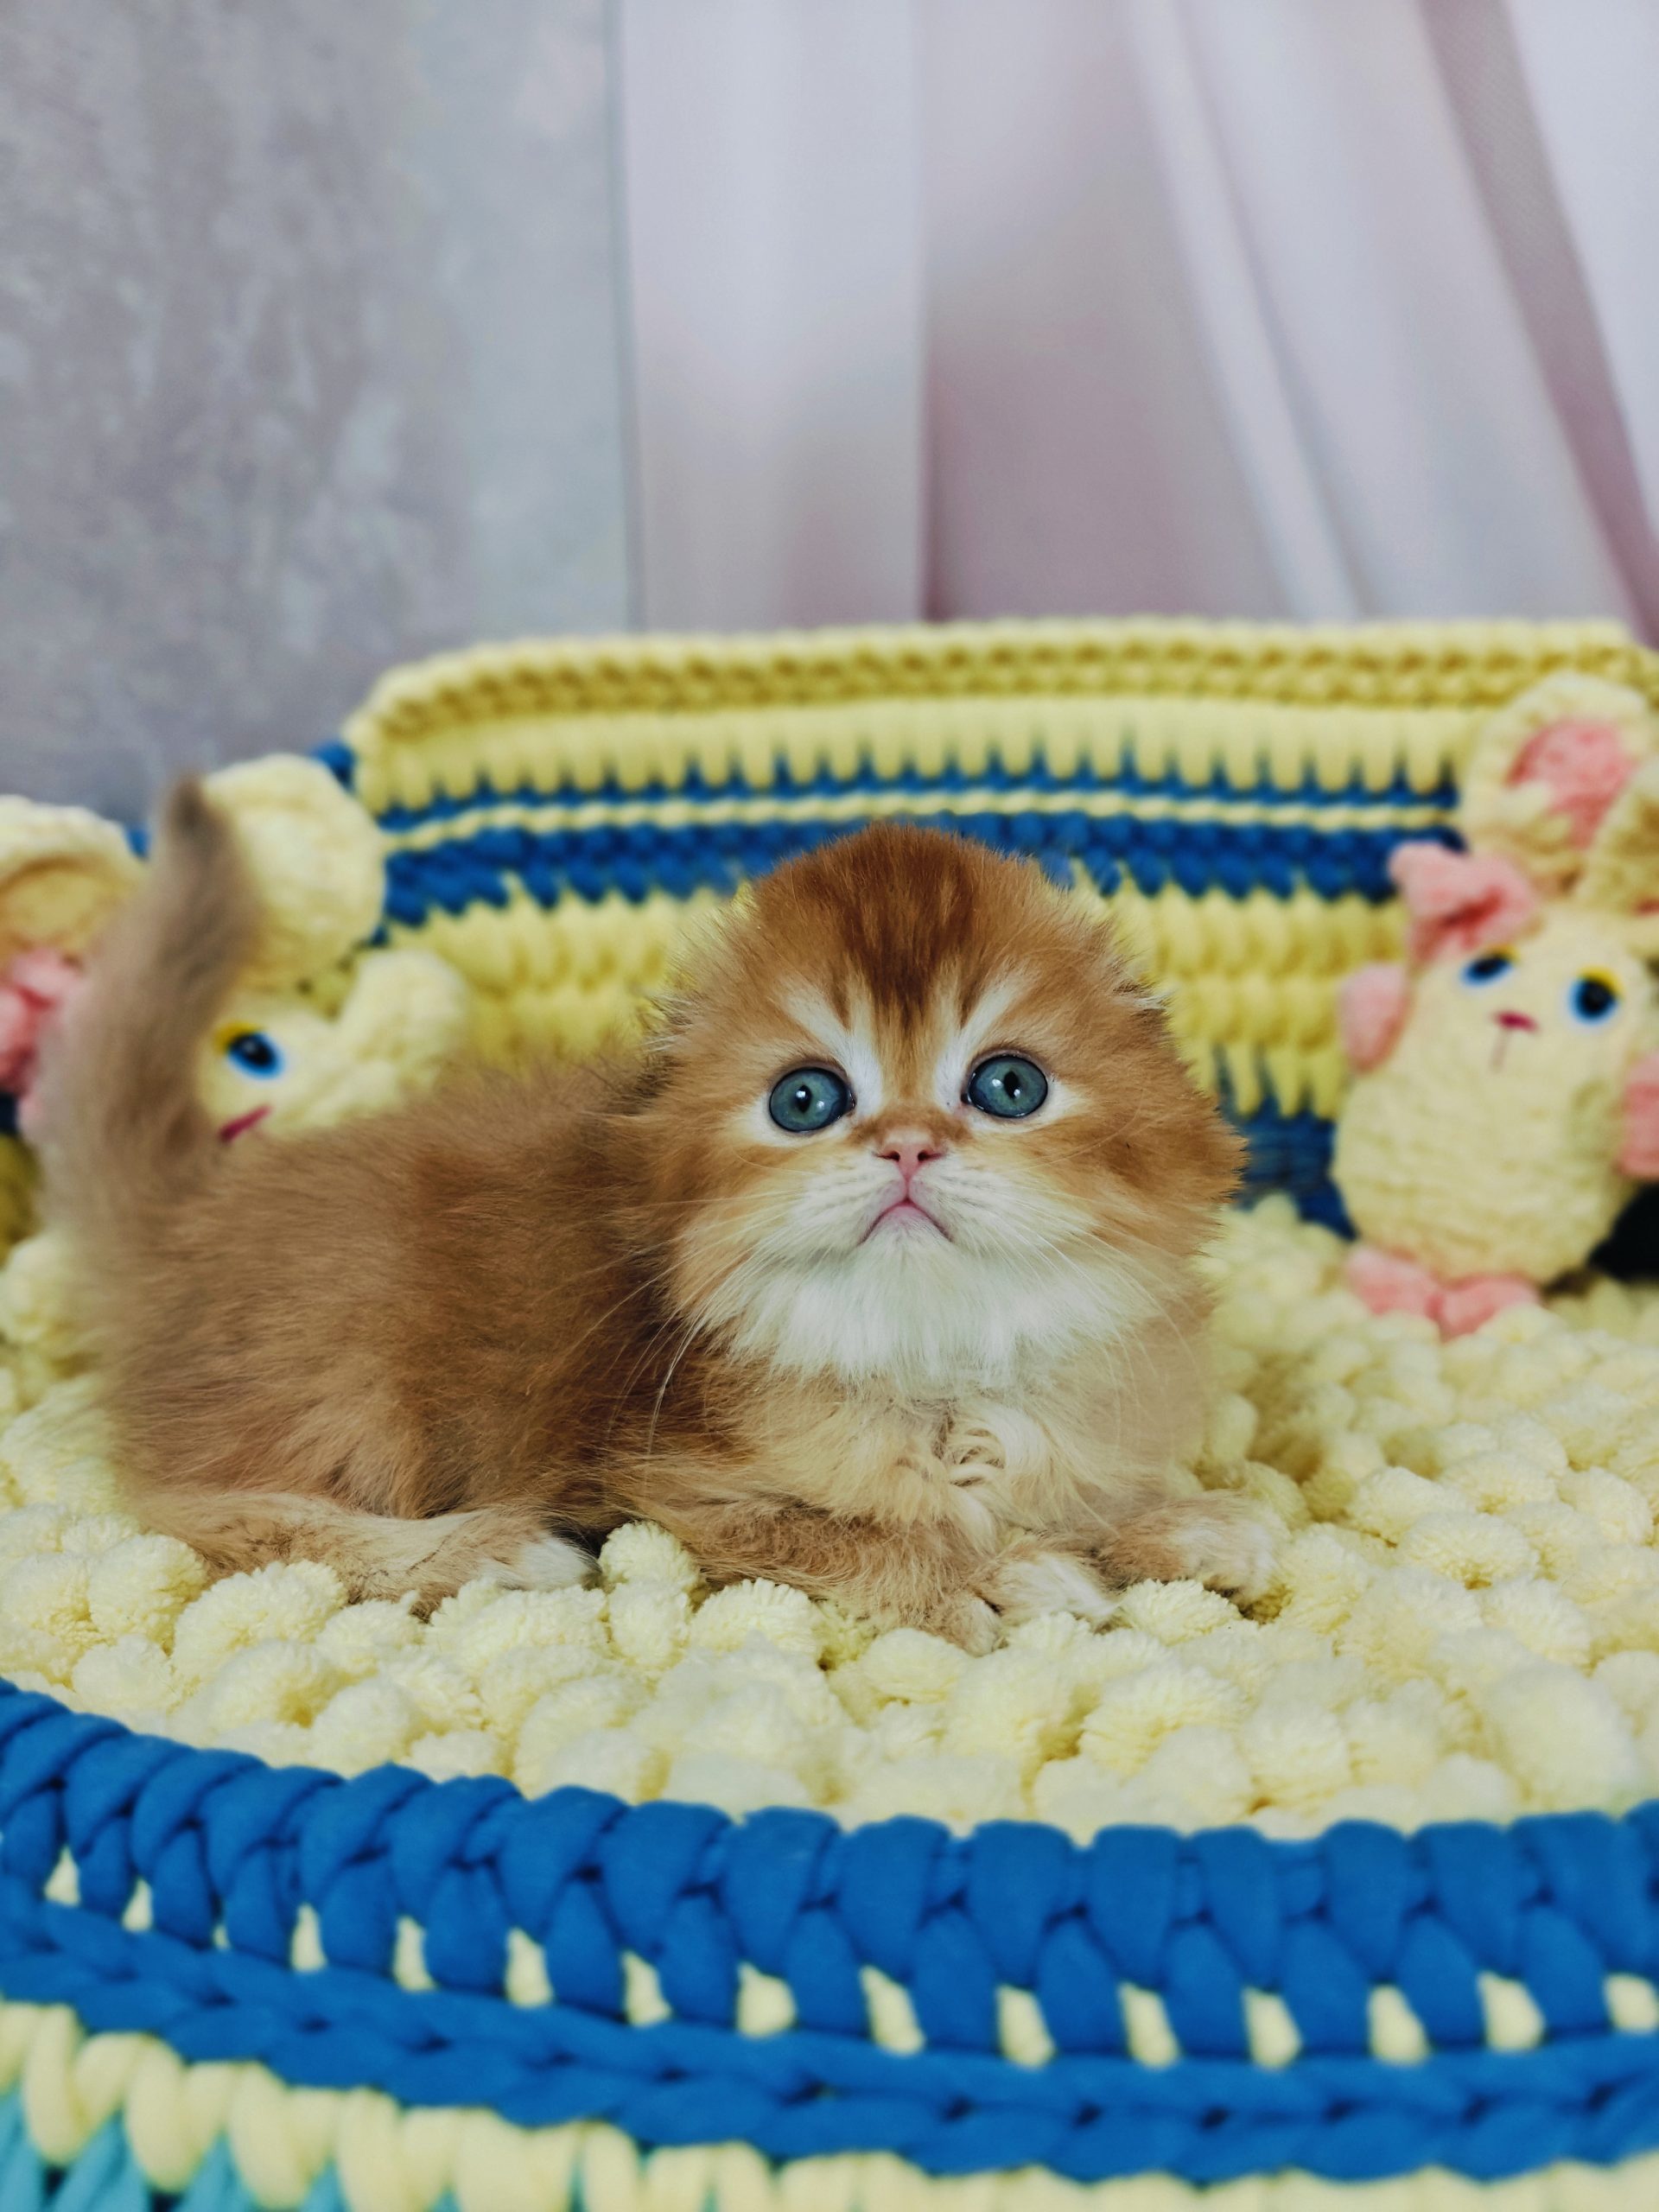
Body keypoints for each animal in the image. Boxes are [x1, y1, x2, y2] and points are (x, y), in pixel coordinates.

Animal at [32, 781, 1270, 1650]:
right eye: (807, 1099)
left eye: (1008, 1085)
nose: (909, 1143)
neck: (932, 1366)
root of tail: (198, 1217)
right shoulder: (667, 1486)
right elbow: (848, 1531)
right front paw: (993, 1575)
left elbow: (1068, 1494)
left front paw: (1181, 1525)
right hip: (350, 1367)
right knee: (205, 1514)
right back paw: (486, 1551)